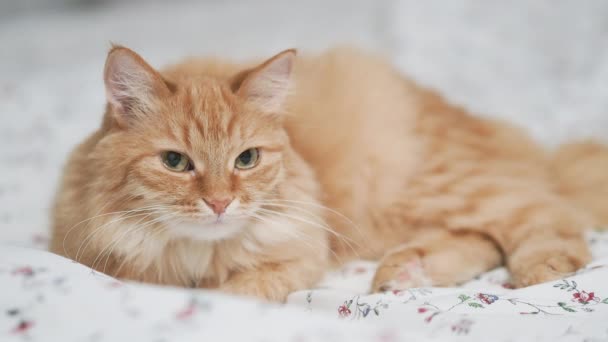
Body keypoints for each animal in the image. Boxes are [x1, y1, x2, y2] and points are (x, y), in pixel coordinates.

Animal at [48, 45, 608, 302]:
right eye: (175, 162)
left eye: (246, 160)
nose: (221, 203)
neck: (195, 256)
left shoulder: (296, 258)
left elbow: (233, 294)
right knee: (482, 237)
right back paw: (407, 274)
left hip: (433, 188)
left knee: (547, 216)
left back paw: (541, 270)